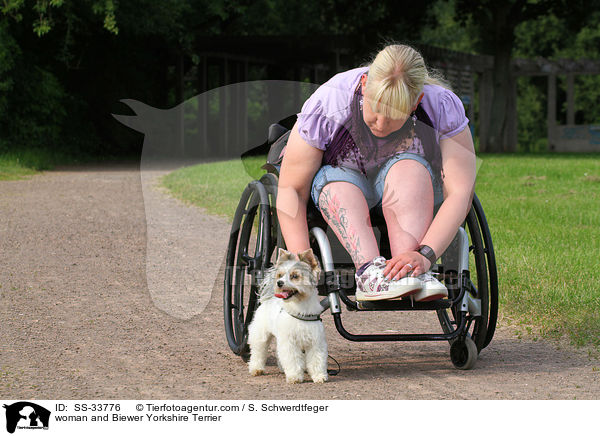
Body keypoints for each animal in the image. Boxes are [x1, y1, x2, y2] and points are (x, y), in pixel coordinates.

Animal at [247, 249, 328, 384]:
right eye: (280, 275)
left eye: (295, 276)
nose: (279, 283)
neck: (300, 309)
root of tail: (269, 298)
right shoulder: (290, 343)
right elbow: (293, 360)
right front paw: (295, 376)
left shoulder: (315, 342)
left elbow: (317, 360)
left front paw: (319, 376)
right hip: (260, 336)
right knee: (258, 352)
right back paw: (256, 368)